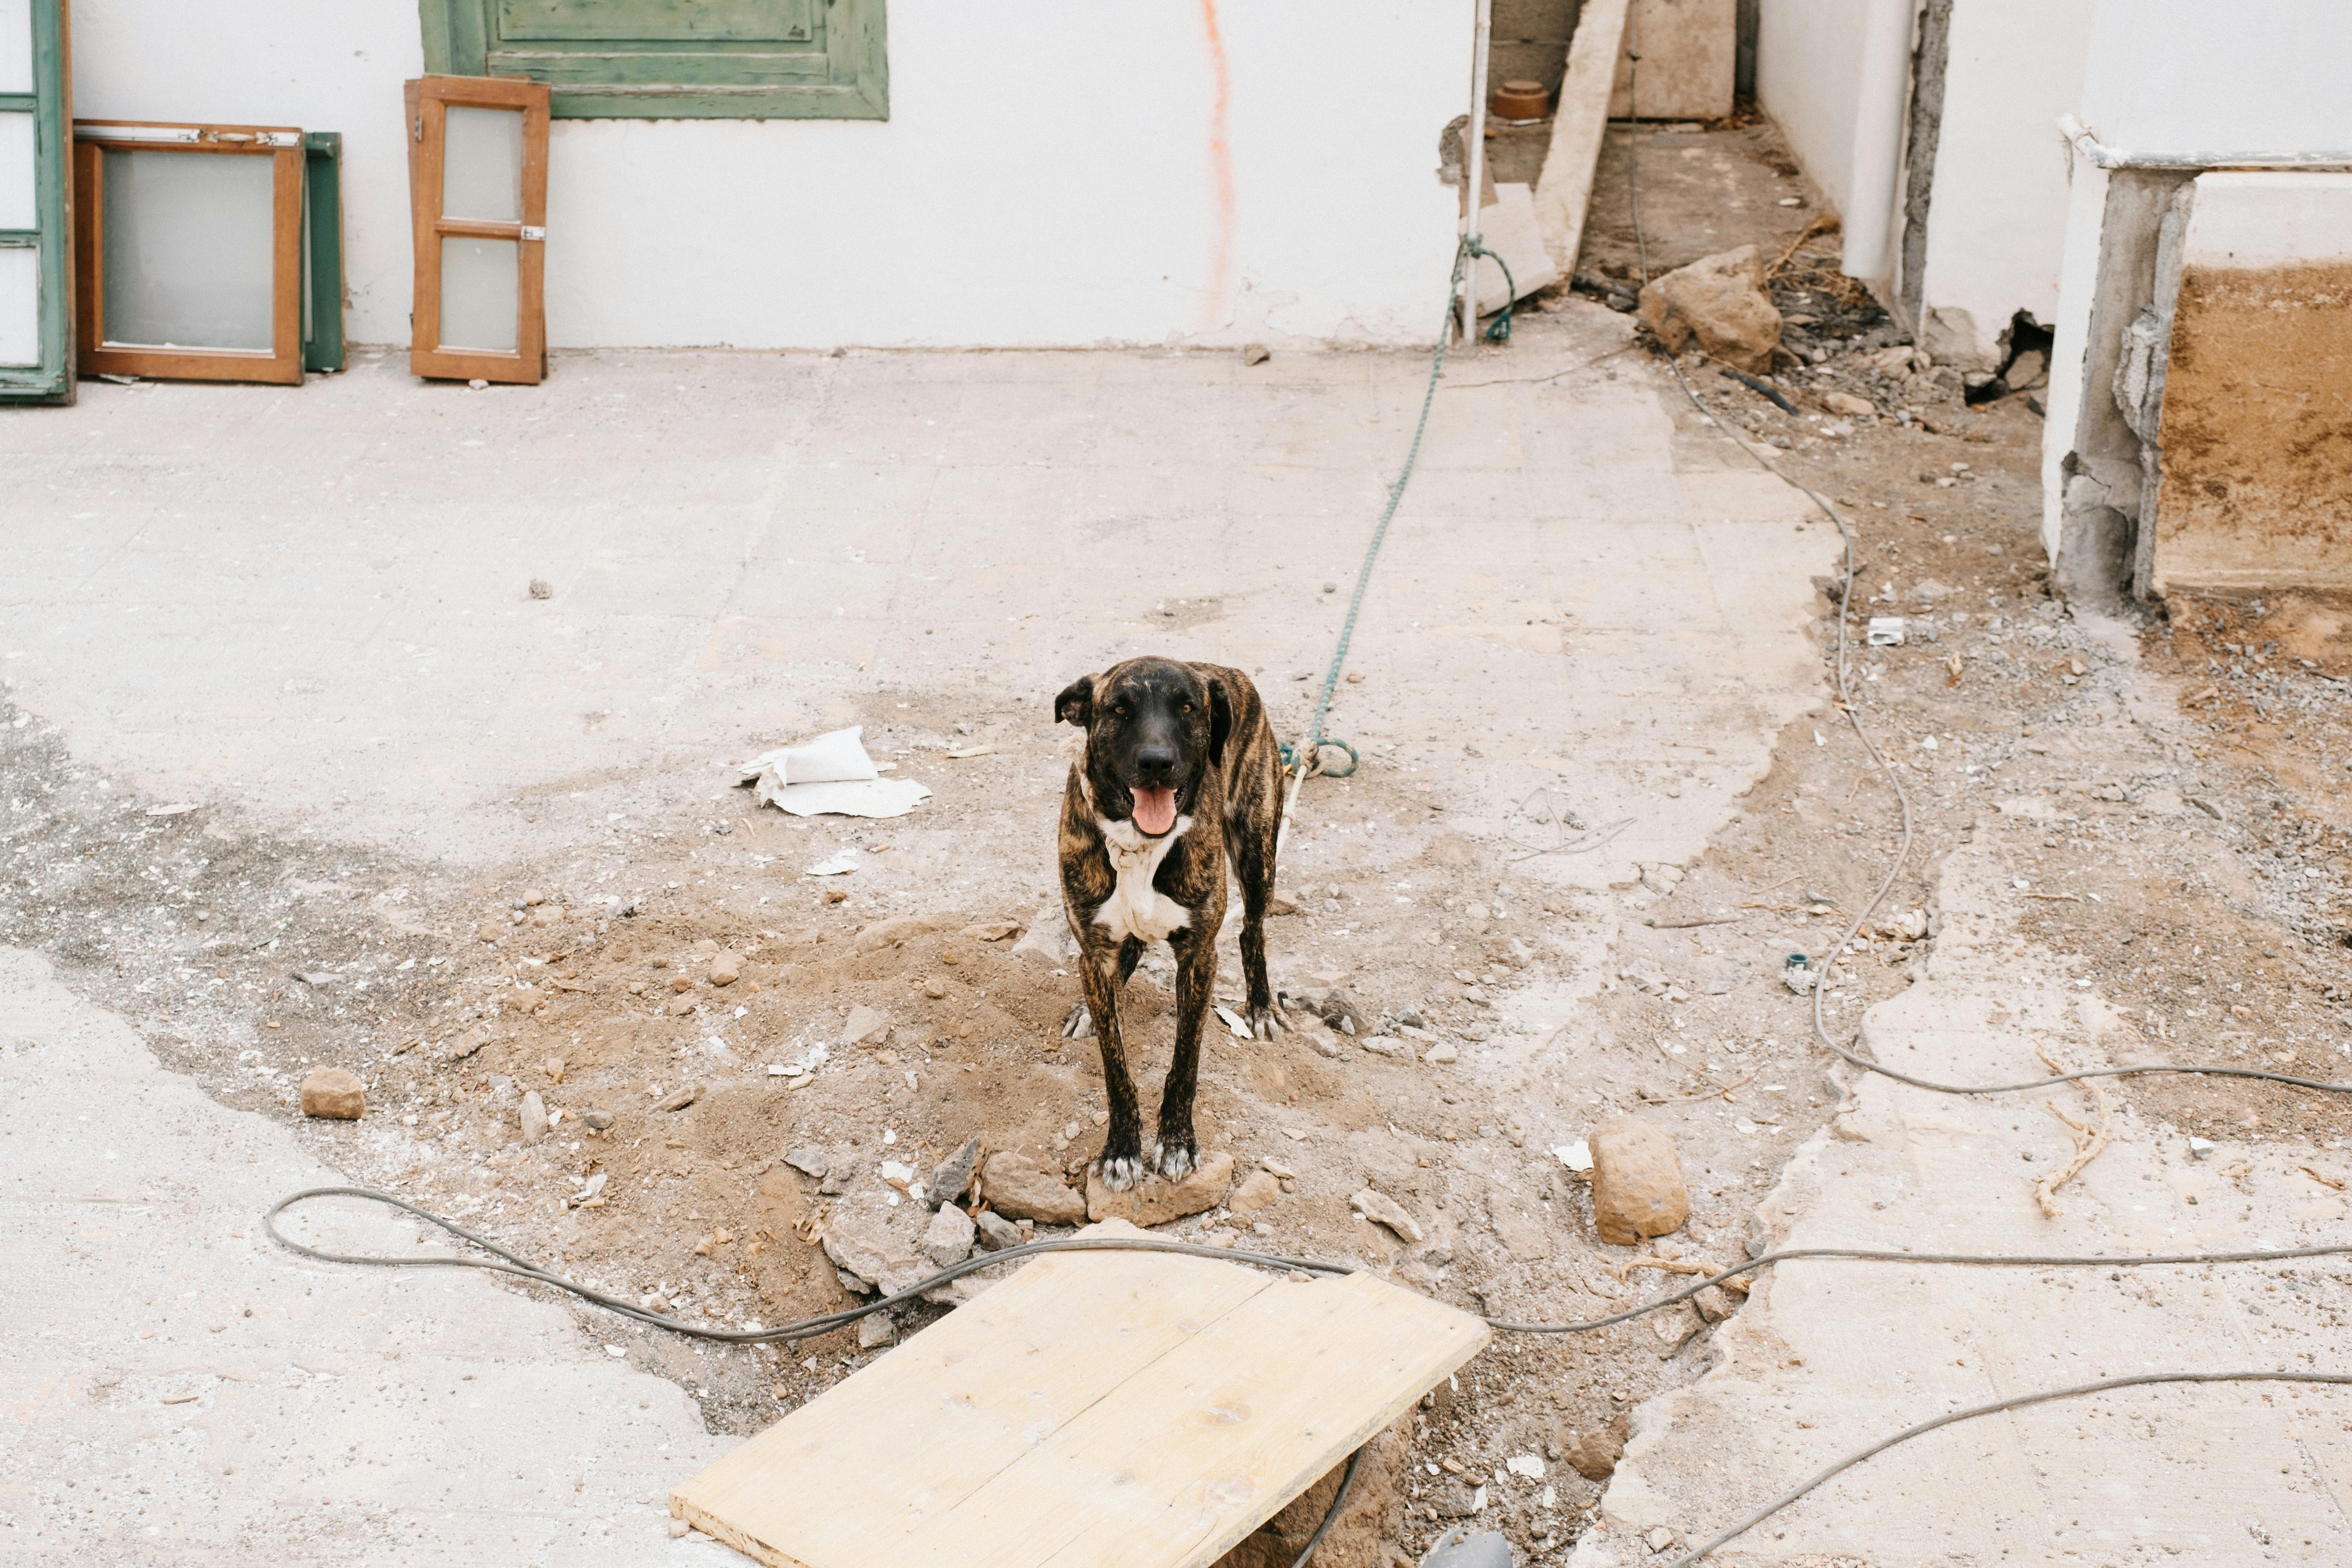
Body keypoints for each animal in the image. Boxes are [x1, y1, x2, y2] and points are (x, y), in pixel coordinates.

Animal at [1058, 658, 1289, 1185]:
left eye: (1187, 708)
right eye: (1118, 709)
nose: (1157, 763)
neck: (1137, 844)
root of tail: (1228, 670)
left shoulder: (1199, 957)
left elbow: (1186, 1058)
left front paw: (1178, 1141)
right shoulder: (1093, 954)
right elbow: (1115, 1065)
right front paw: (1122, 1147)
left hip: (1257, 853)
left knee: (1253, 929)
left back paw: (1261, 1005)